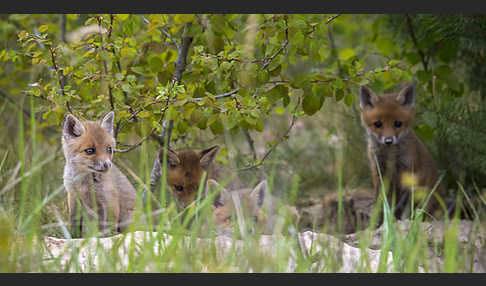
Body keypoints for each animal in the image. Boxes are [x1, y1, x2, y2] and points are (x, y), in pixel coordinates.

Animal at [358, 83, 446, 219]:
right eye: (377, 124)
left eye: (398, 123)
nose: (388, 140)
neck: (391, 157)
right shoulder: (379, 172)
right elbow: (381, 200)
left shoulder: (408, 173)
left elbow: (403, 205)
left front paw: (399, 219)